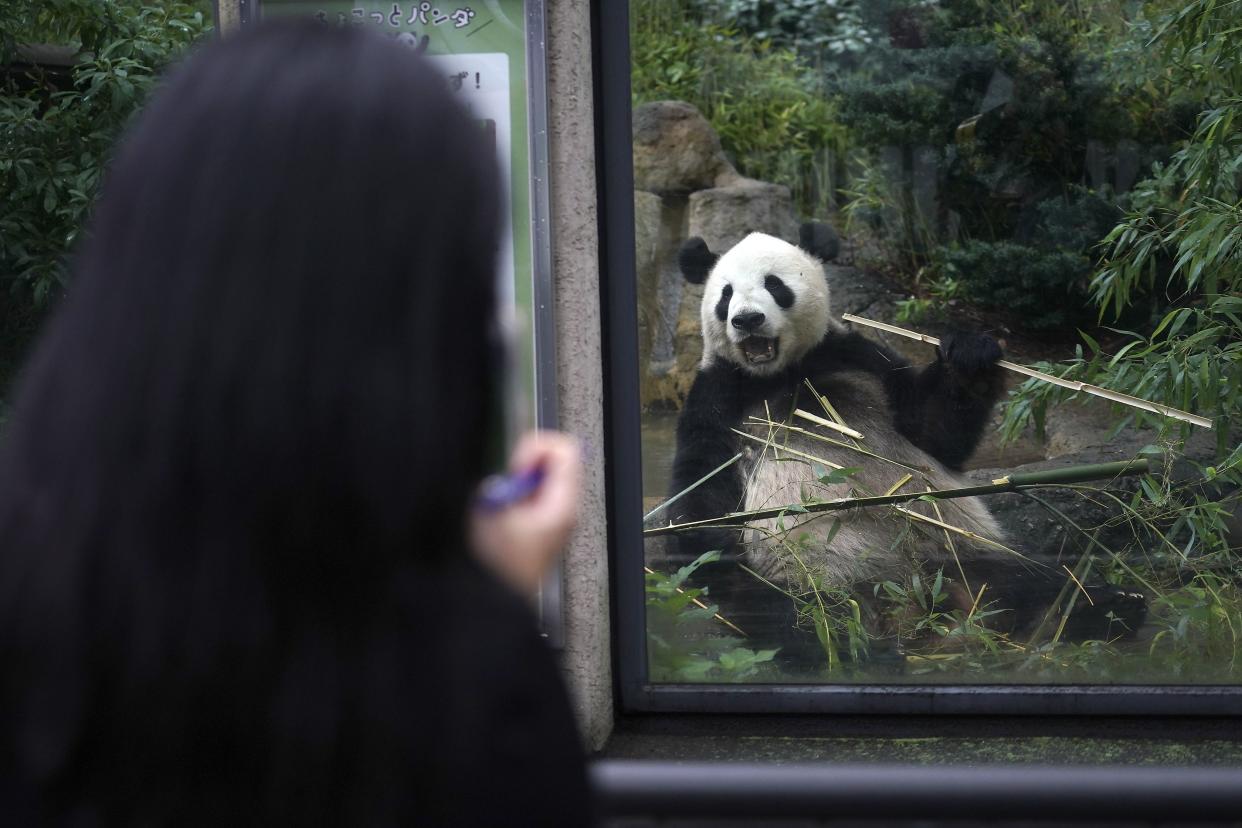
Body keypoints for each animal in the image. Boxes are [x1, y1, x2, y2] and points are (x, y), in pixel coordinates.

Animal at [670, 222, 1142, 675]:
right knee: (793, 619)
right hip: (809, 576)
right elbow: (702, 491)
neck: (778, 373)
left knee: (1038, 582)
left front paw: (968, 355)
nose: (747, 320)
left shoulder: (856, 357)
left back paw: (1101, 608)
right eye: (726, 294)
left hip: (953, 554)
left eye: (774, 284)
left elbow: (933, 431)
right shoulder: (717, 395)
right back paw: (861, 653)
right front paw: (711, 542)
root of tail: (909, 605)